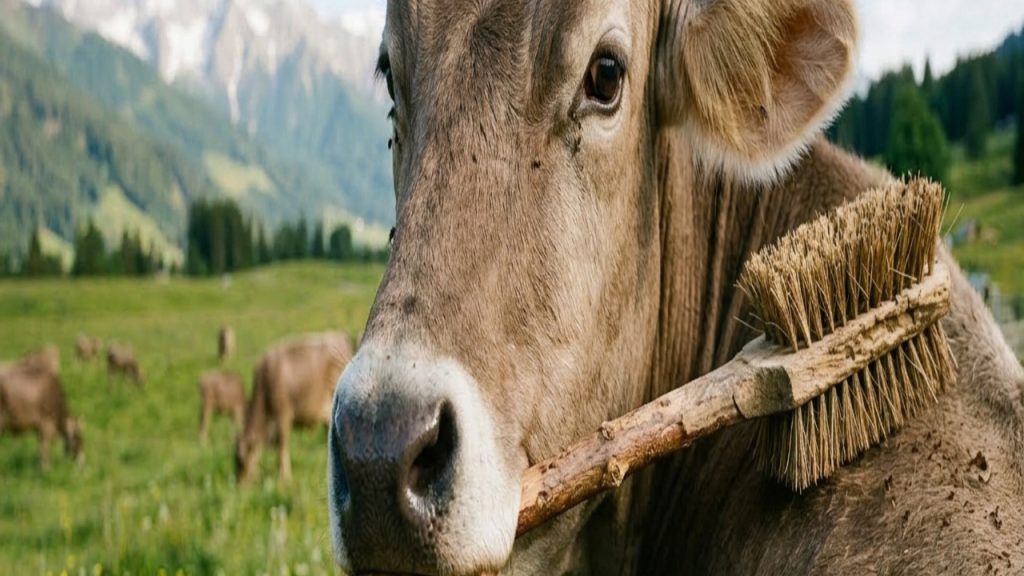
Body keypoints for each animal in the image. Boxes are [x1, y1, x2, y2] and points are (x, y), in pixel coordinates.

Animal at [235, 332, 353, 484]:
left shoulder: (283, 417)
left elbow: (282, 449)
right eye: (235, 461)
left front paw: (284, 478)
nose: (239, 484)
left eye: (242, 461)